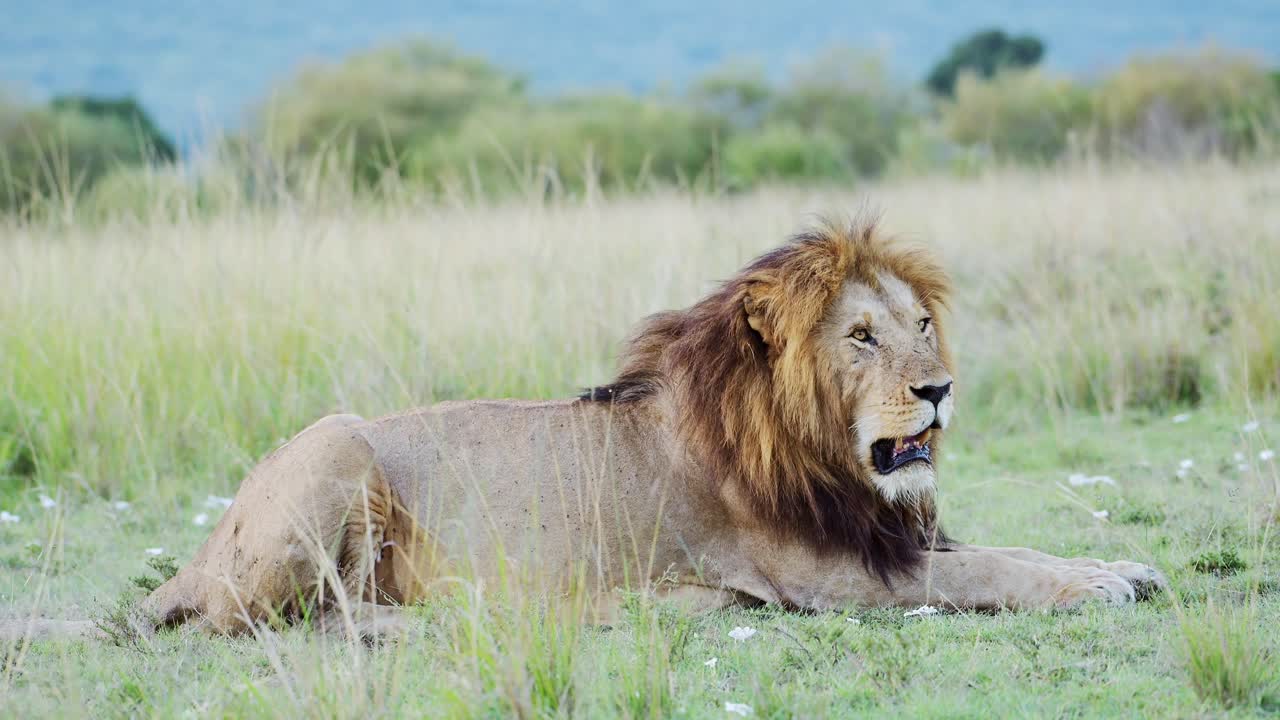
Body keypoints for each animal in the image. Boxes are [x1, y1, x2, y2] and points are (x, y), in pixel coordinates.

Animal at [135, 218, 1165, 636]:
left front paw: (1118, 566)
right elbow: (982, 572)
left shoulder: (878, 530)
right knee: (287, 618)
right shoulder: (826, 575)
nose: (940, 388)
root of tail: (198, 552)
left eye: (919, 325)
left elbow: (1011, 549)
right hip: (339, 441)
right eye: (861, 337)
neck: (822, 455)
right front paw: (1093, 588)